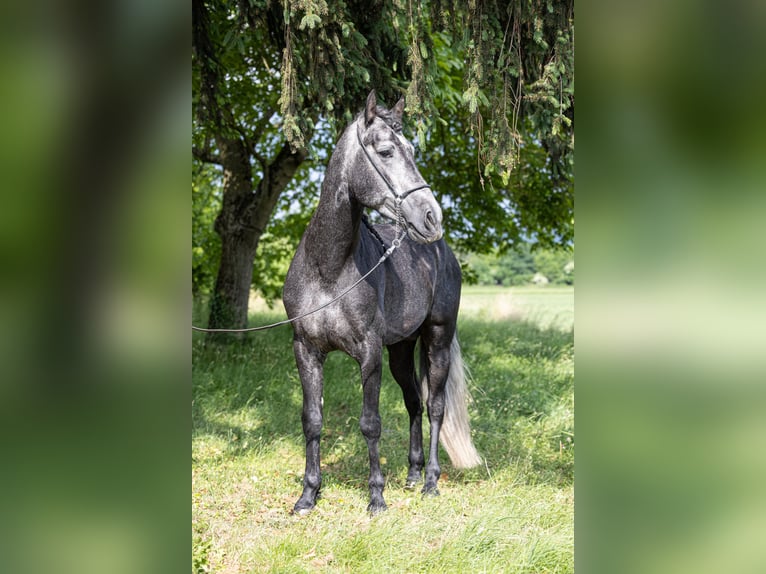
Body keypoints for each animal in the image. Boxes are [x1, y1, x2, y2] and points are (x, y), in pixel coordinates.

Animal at [284, 91, 484, 516]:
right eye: (387, 151)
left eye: (414, 150)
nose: (431, 216)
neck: (328, 268)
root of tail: (441, 249)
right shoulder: (306, 349)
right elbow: (312, 419)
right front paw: (308, 496)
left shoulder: (369, 352)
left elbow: (370, 422)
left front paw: (376, 497)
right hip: (401, 351)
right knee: (413, 403)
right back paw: (411, 473)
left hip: (437, 340)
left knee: (435, 406)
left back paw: (430, 482)